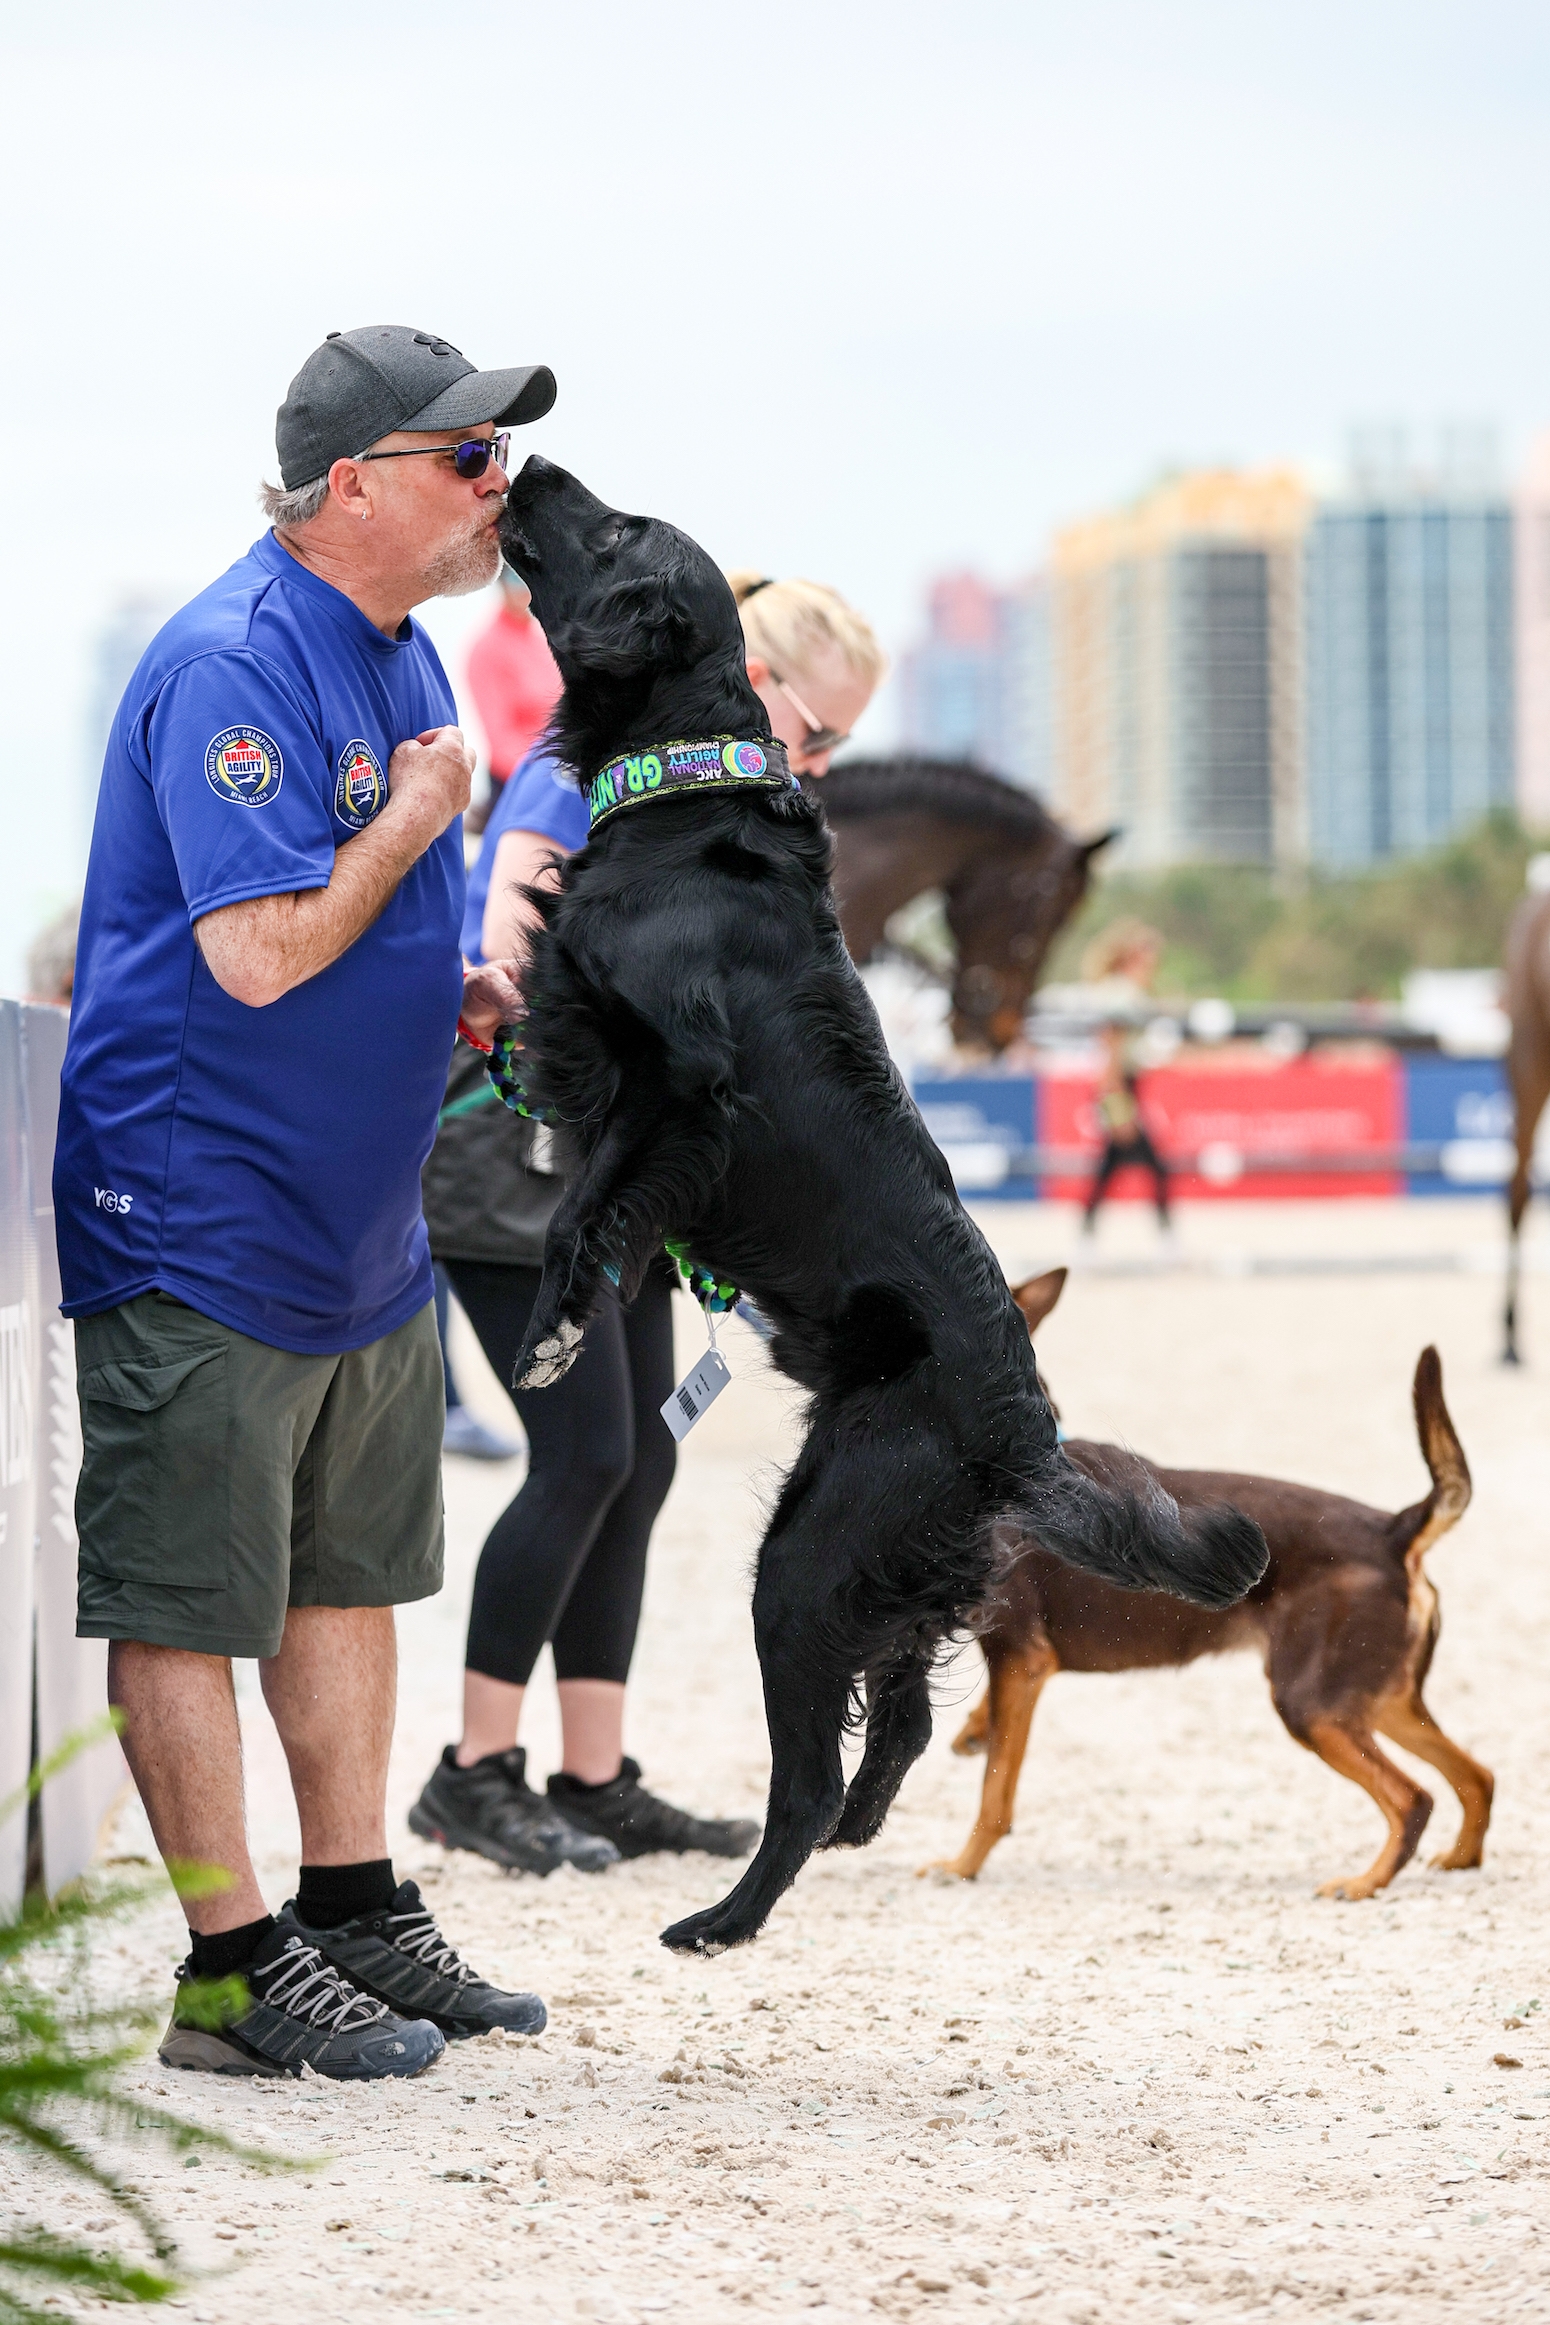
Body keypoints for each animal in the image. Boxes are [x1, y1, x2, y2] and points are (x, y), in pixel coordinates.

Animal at [929, 1274, 1496, 1906]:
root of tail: (1394, 1531)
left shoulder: (1019, 1657)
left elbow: (994, 1792)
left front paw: (962, 1866)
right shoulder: (1018, 1668)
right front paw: (974, 1732)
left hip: (1312, 1705)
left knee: (1413, 1799)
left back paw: (1364, 1882)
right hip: (1377, 1699)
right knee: (1477, 1778)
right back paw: (1461, 1859)